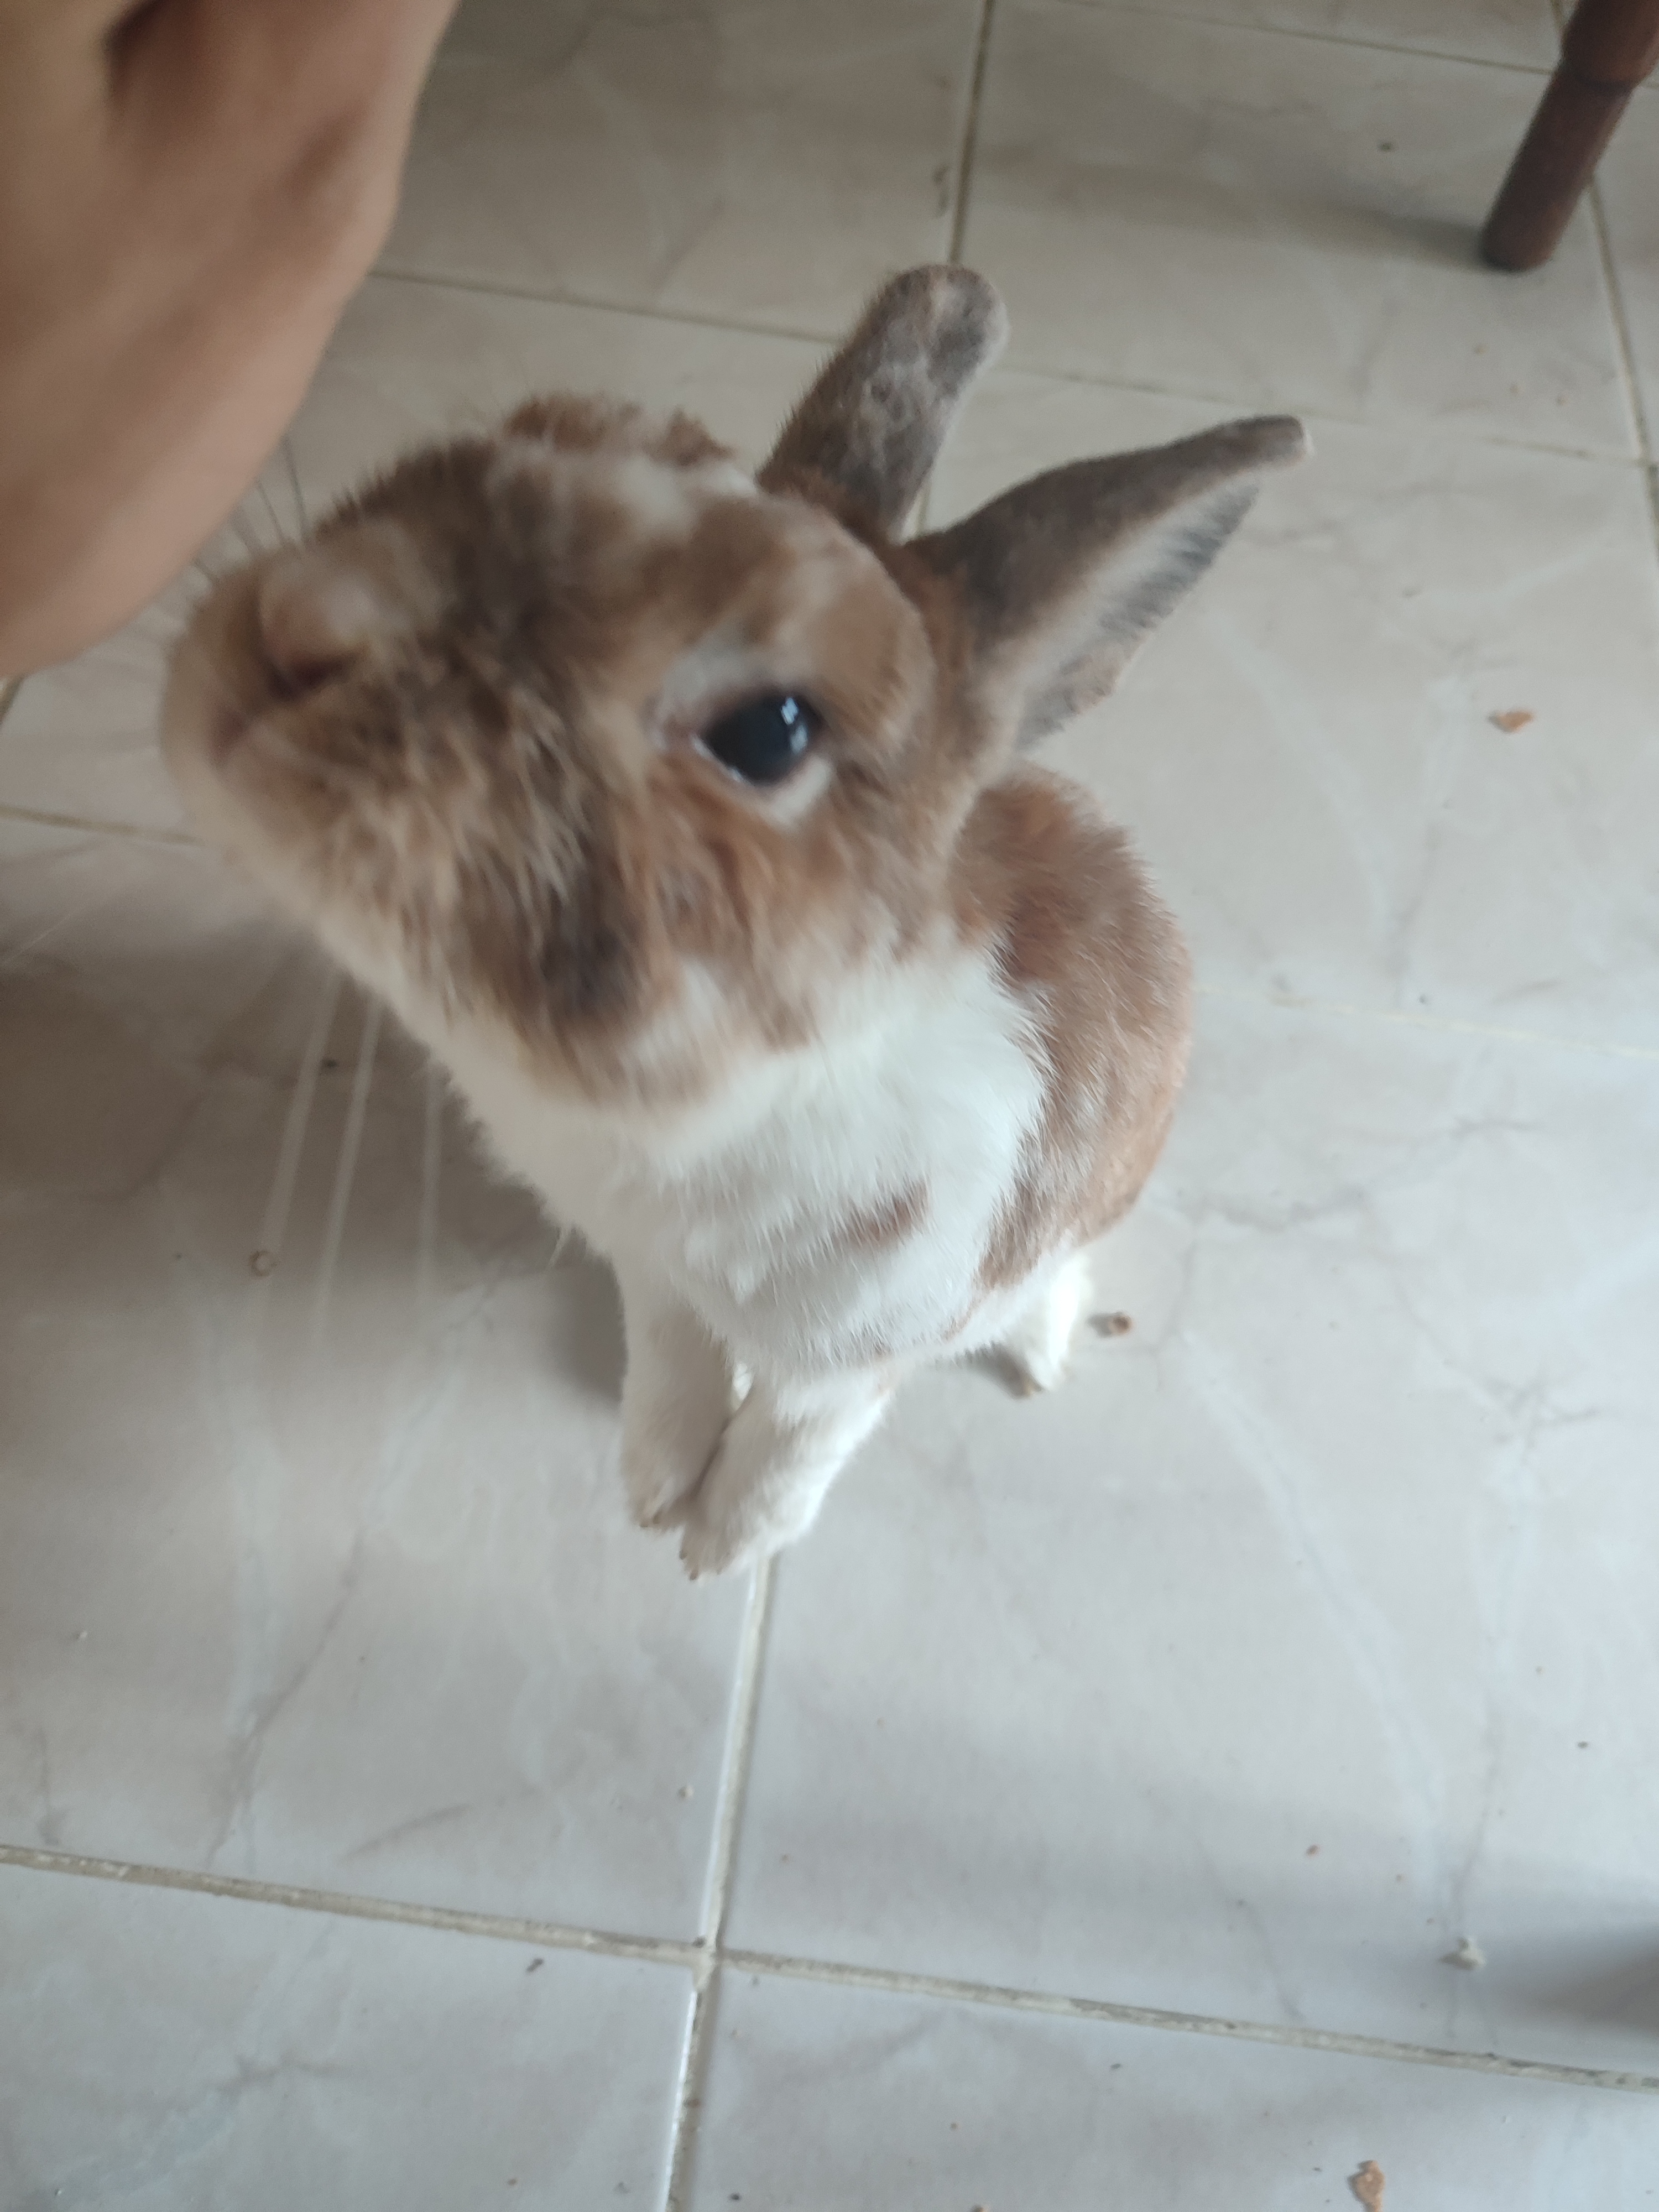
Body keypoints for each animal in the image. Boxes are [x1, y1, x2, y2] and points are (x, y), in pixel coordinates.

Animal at [162, 265, 1307, 1579]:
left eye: (770, 733)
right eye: (520, 430)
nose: (296, 622)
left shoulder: (872, 1341)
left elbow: (800, 1436)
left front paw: (726, 1545)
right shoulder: (651, 1279)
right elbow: (675, 1364)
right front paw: (656, 1488)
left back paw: (1041, 1350)